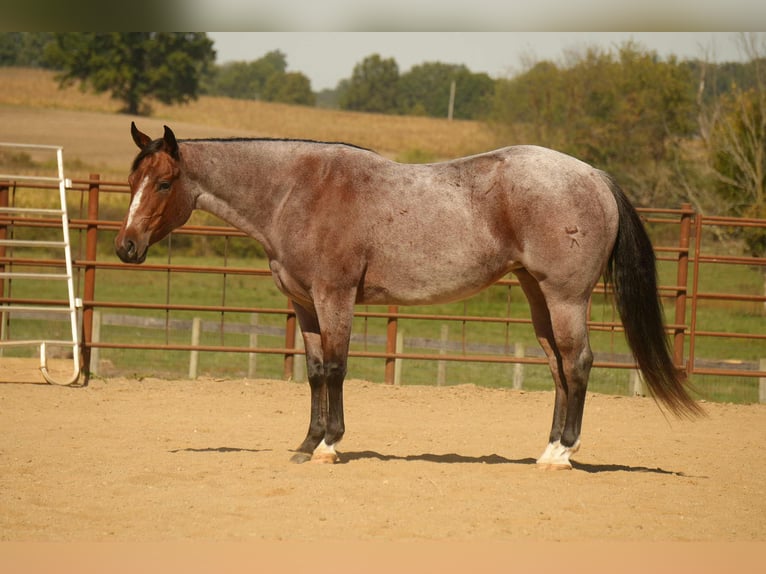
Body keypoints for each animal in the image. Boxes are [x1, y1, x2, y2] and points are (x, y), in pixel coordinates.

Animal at [115, 123, 703, 470]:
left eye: (164, 183)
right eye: (132, 181)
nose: (125, 247)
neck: (297, 191)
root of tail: (595, 175)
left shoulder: (335, 296)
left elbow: (336, 368)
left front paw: (331, 444)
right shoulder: (304, 304)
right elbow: (314, 372)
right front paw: (307, 445)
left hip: (565, 297)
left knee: (578, 363)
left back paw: (562, 454)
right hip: (538, 296)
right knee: (559, 367)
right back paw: (547, 448)